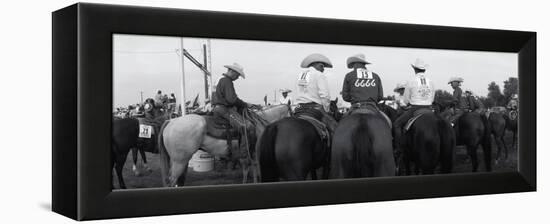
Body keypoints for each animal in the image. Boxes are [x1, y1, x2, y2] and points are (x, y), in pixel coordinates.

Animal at [157, 105, 292, 187]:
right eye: (292, 113)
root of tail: (170, 121)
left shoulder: (249, 157)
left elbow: (247, 170)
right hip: (179, 161)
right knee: (172, 180)